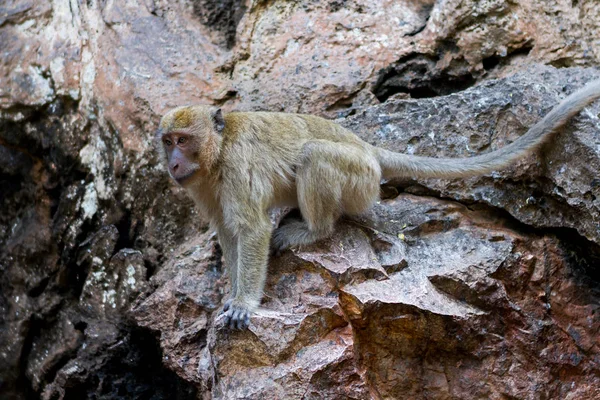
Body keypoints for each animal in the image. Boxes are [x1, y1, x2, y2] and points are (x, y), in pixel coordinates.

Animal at [157, 79, 600, 328]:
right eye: (167, 141)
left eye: (183, 140)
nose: (173, 162)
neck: (217, 152)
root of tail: (368, 149)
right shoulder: (203, 186)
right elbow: (228, 236)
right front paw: (231, 298)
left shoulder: (236, 167)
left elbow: (251, 230)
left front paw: (244, 304)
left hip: (359, 177)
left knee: (315, 155)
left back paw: (313, 231)